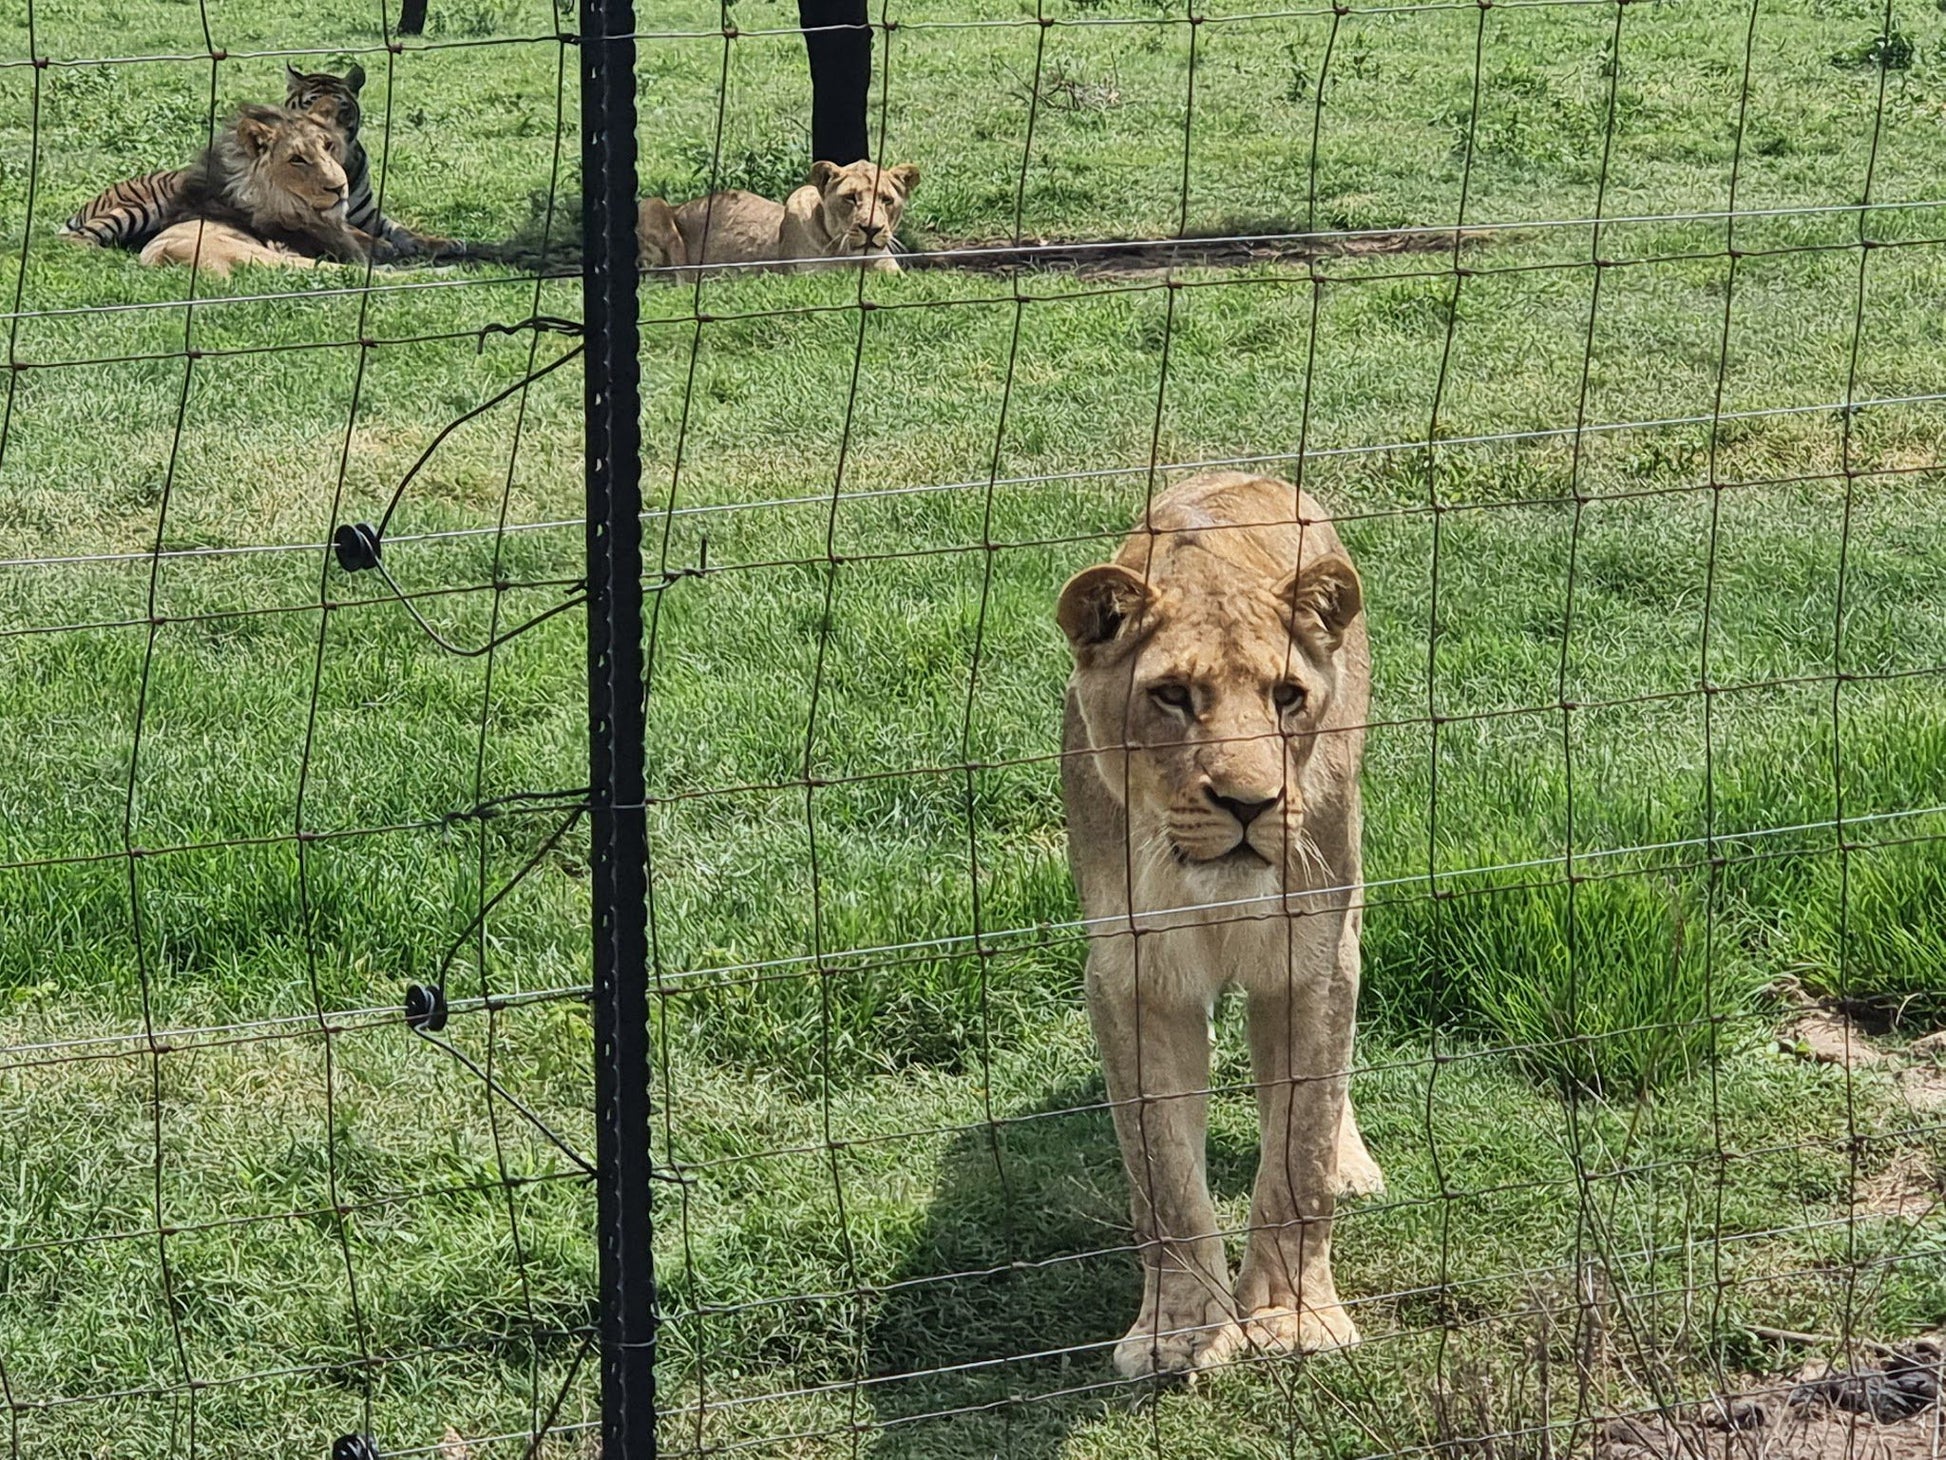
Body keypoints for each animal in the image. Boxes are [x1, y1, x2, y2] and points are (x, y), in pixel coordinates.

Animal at [1050, 476, 1385, 1386]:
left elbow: (1298, 1150)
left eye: (1286, 697)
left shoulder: (1312, 955)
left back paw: (1352, 1165)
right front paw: (1180, 1330)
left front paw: (1292, 1319)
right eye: (1171, 695)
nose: (1248, 803)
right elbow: (1161, 1170)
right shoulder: (1135, 978)